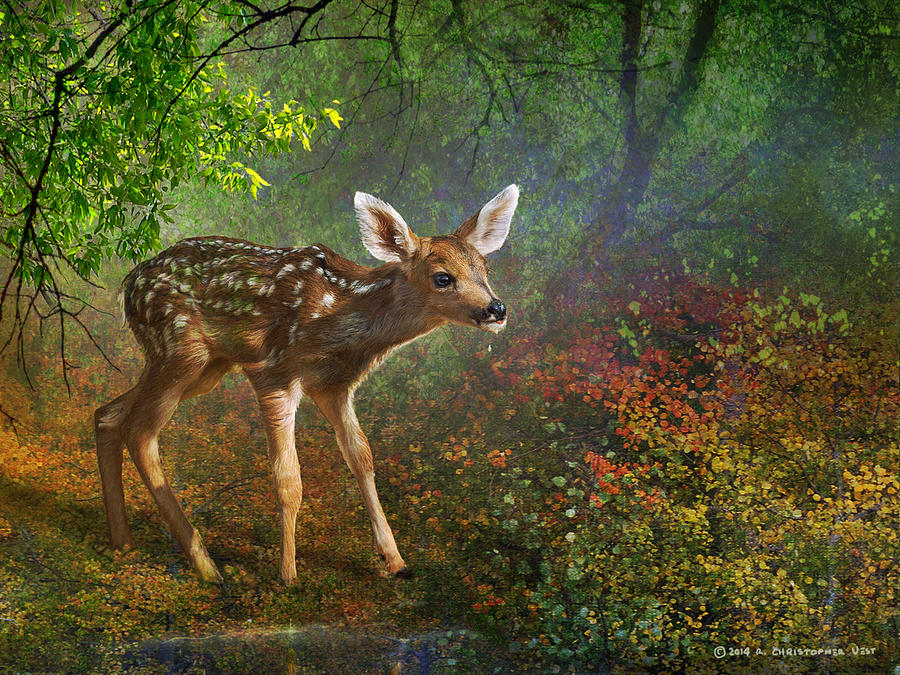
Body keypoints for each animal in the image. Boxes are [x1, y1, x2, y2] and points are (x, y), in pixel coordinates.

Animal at [94, 185, 518, 584]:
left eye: (484, 269)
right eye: (443, 277)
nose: (496, 309)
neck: (340, 323)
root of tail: (128, 286)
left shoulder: (335, 386)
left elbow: (362, 459)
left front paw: (395, 561)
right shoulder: (273, 373)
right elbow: (288, 478)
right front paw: (288, 574)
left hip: (205, 366)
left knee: (108, 414)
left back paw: (122, 541)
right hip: (179, 348)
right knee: (141, 432)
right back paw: (206, 566)